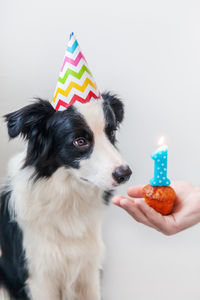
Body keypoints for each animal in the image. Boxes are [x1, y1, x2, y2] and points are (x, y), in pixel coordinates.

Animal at [0, 92, 133, 298]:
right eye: (80, 141)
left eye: (111, 133)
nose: (125, 174)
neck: (69, 200)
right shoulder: (40, 277)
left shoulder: (89, 270)